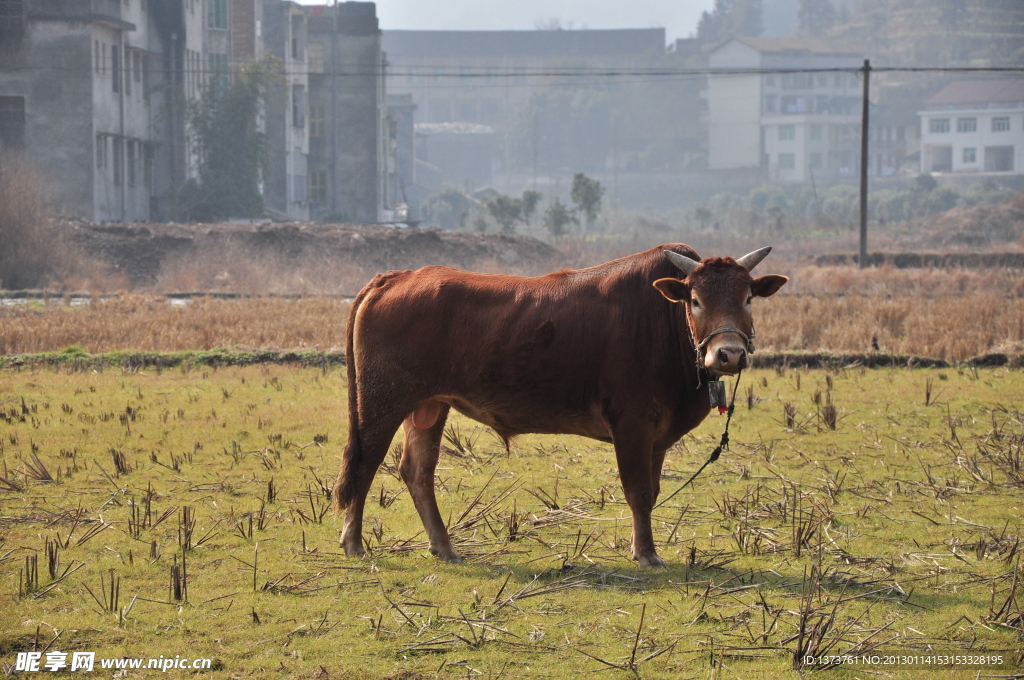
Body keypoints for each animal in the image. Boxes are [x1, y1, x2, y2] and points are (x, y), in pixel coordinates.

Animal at [331, 242, 786, 561]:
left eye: (747, 298)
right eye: (695, 300)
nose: (728, 354)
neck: (665, 322)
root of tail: (399, 276)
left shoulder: (655, 436)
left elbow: (652, 491)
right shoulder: (632, 425)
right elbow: (638, 491)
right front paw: (645, 554)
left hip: (428, 407)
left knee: (417, 472)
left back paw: (444, 547)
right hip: (381, 401)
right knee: (365, 464)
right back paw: (353, 542)